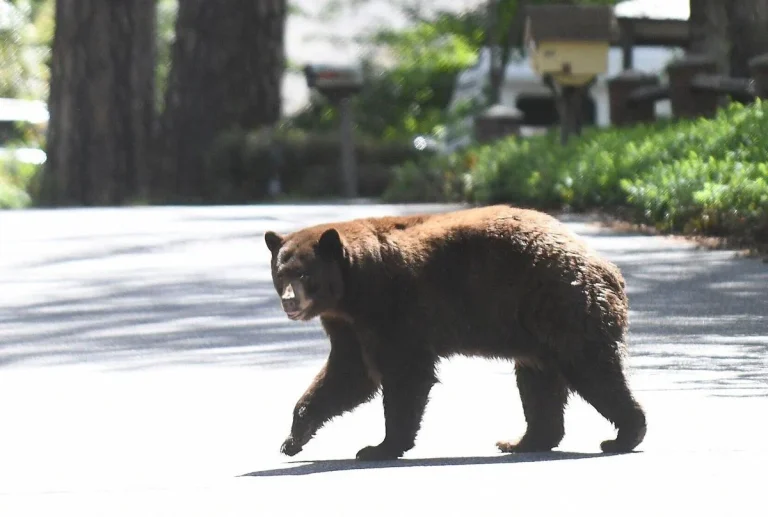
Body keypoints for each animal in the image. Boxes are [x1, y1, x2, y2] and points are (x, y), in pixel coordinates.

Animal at [263, 204, 646, 461]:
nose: (289, 302)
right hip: (537, 327)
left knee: (592, 371)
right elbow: (347, 374)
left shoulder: (392, 307)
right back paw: (524, 440)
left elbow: (404, 373)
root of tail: (607, 267)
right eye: (281, 273)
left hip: (560, 305)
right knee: (540, 382)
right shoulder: (347, 325)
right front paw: (293, 438)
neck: (352, 291)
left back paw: (623, 435)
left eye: (306, 275)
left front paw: (379, 446)